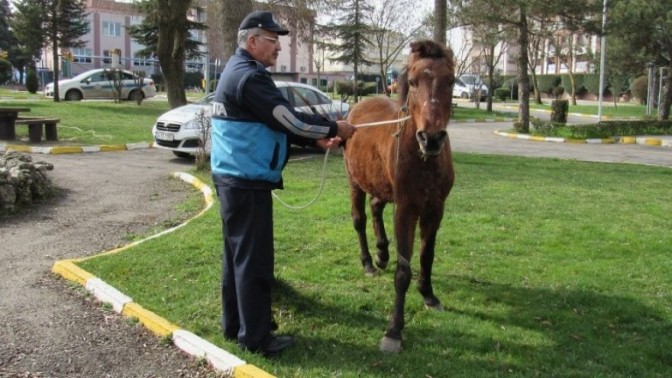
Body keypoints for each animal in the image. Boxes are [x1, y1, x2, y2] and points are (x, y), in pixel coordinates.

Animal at [344, 39, 454, 352]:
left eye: (451, 81)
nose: (431, 138)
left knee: (376, 207)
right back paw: (369, 262)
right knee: (359, 219)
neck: (423, 160)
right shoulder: (406, 211)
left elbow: (427, 256)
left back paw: (382, 253)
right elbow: (403, 271)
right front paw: (394, 329)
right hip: (355, 182)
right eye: (414, 81)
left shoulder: (435, 210)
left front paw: (429, 294)